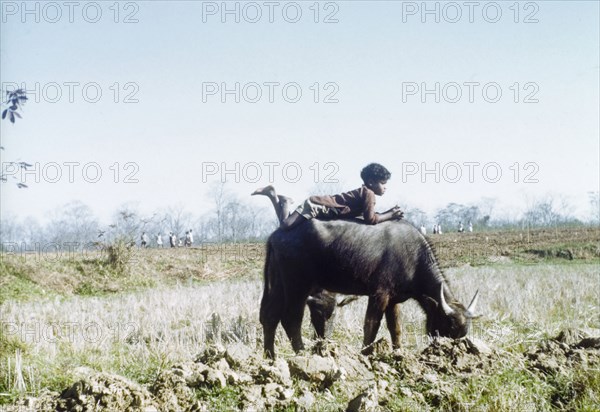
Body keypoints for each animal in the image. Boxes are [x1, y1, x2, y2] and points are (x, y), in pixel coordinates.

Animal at [260, 219, 480, 358]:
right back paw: (301, 352)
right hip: (297, 285)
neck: (413, 255)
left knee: (270, 316)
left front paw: (398, 352)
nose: (453, 352)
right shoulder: (379, 294)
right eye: (449, 327)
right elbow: (371, 325)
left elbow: (395, 328)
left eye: (463, 333)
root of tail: (276, 235)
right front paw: (365, 352)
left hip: (278, 284)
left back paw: (270, 357)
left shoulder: (393, 300)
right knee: (291, 319)